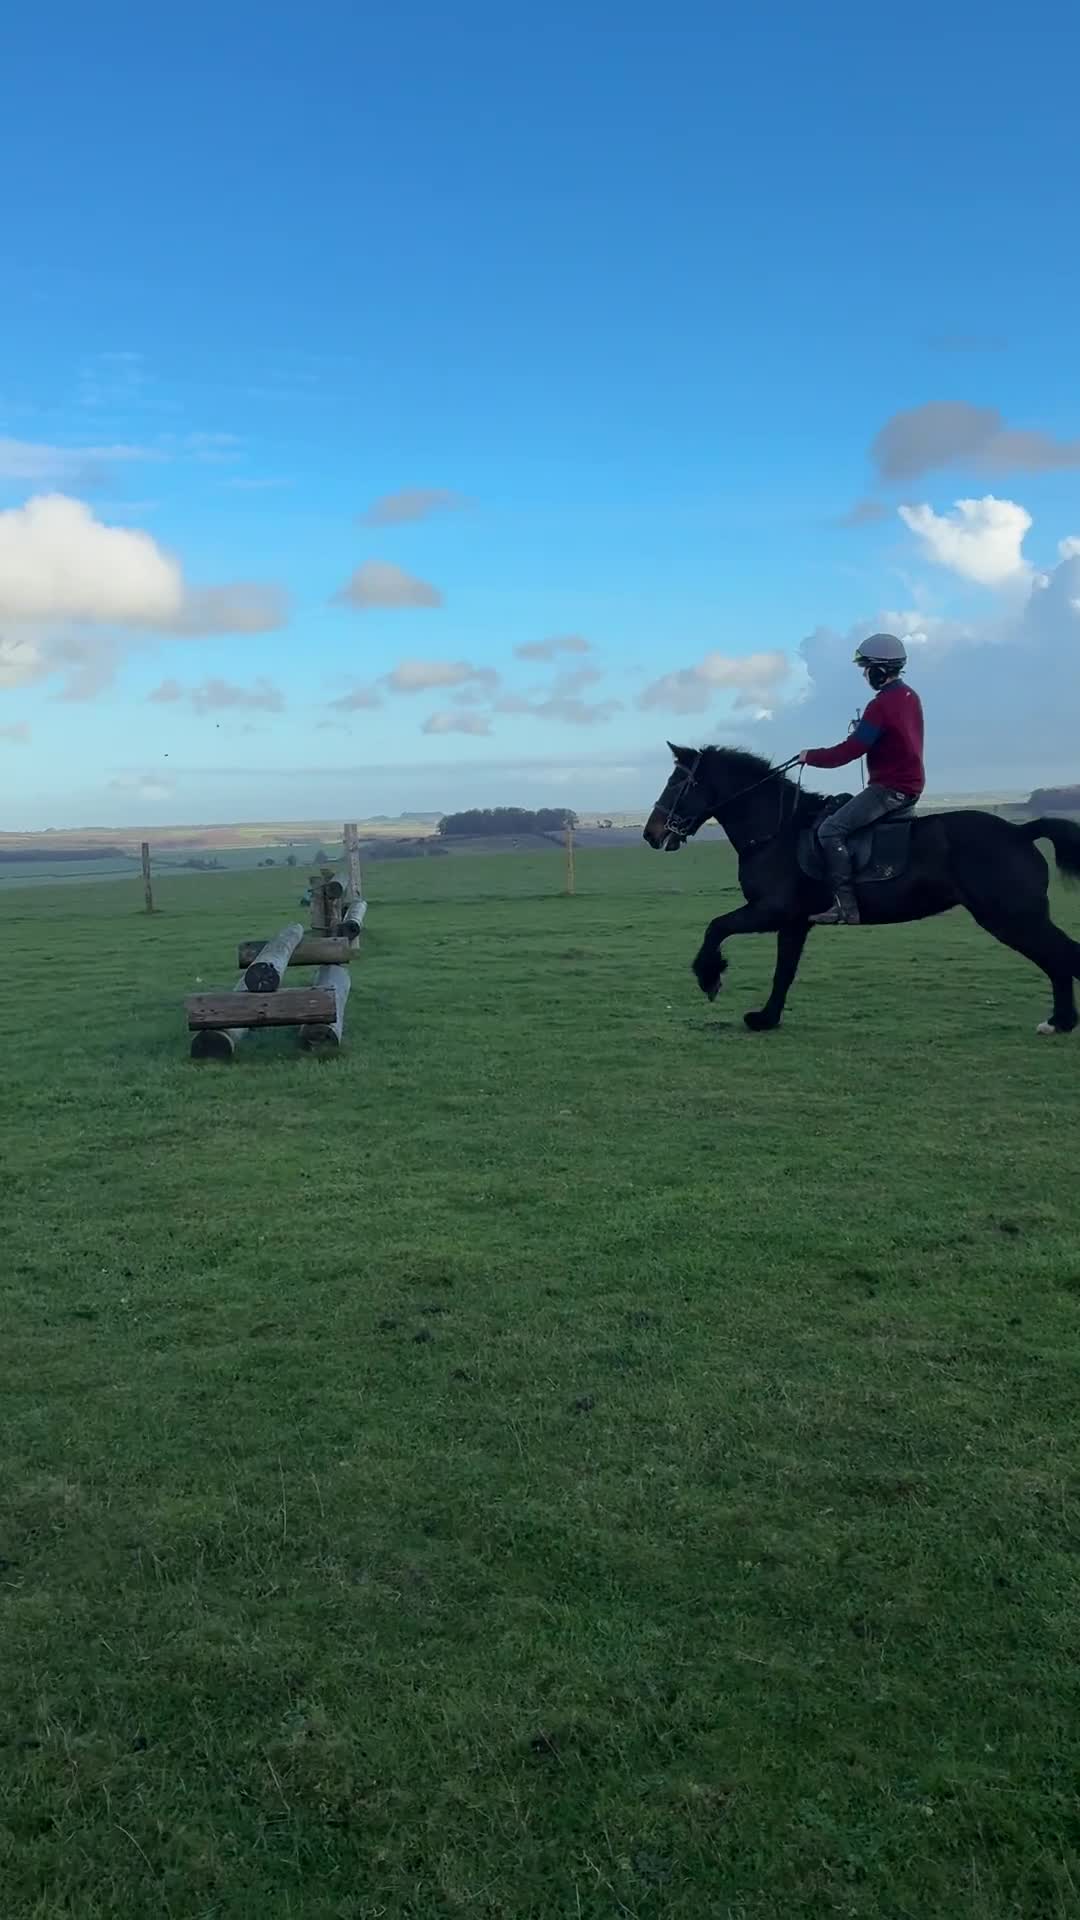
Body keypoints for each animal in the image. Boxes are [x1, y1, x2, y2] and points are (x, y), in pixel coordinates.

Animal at [643, 743, 1080, 1035]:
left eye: (679, 782)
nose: (651, 834)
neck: (777, 831)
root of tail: (1021, 833)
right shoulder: (794, 922)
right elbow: (783, 972)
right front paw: (766, 1018)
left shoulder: (771, 910)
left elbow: (716, 927)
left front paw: (710, 978)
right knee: (1060, 957)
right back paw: (1061, 1022)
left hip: (1012, 917)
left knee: (1062, 955)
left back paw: (1061, 1021)